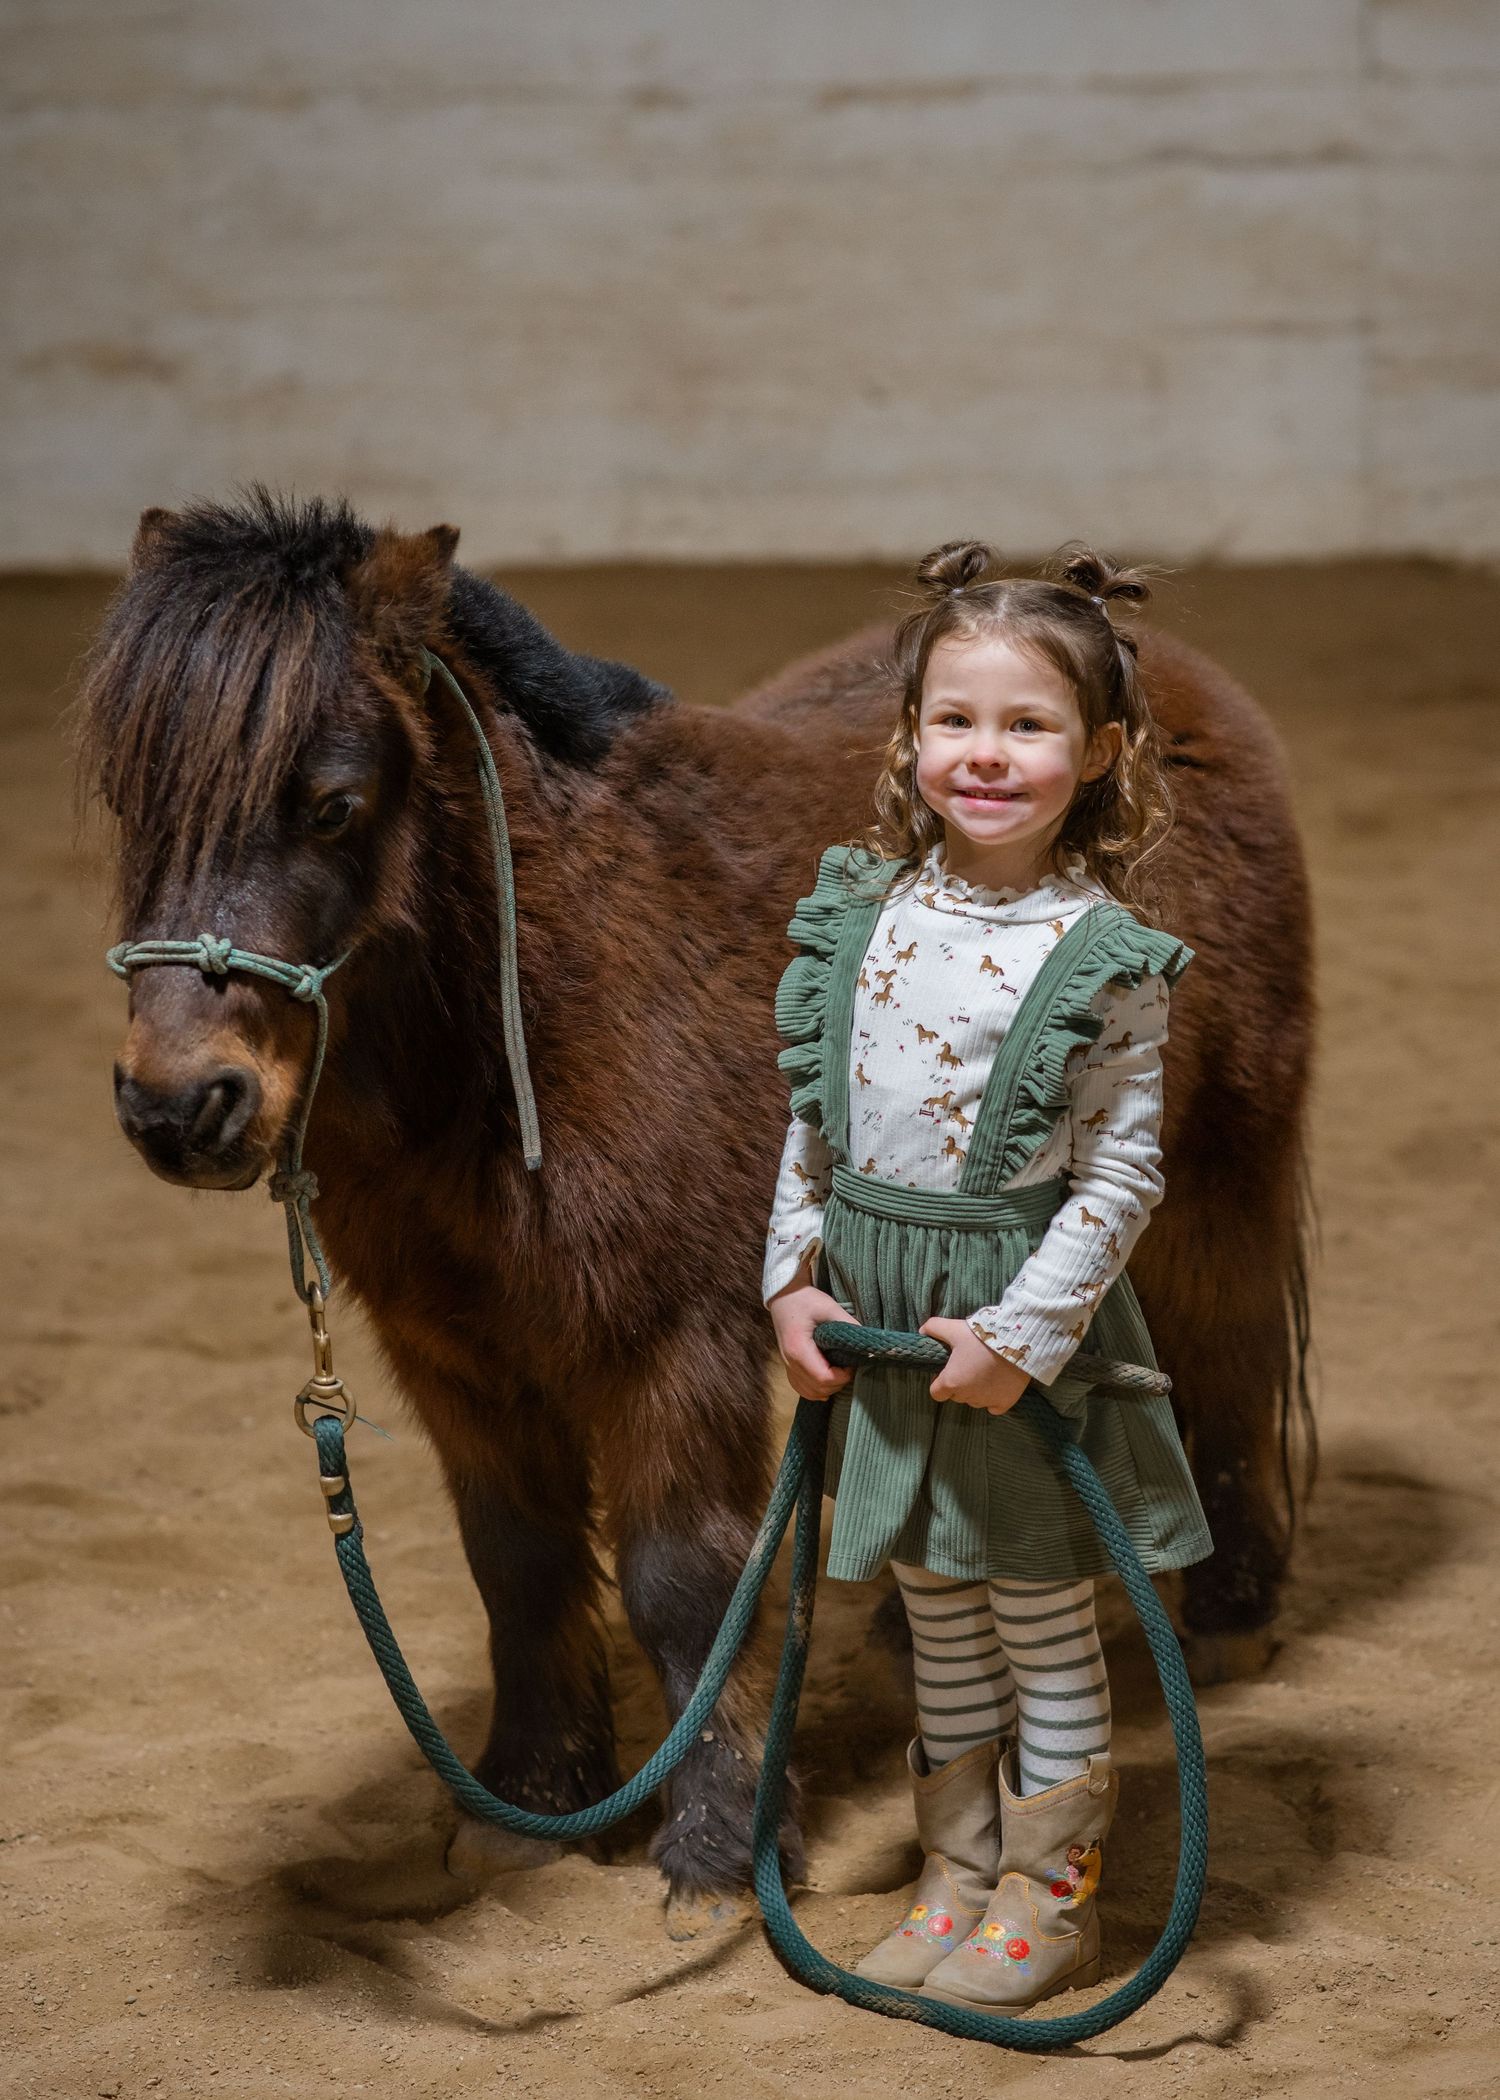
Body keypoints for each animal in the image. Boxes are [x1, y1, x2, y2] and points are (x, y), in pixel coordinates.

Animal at [78, 489, 1313, 1928]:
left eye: (332, 802)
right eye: (131, 801)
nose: (181, 1109)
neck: (539, 1013)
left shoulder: (668, 1345)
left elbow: (681, 1582)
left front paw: (721, 1849)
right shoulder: (459, 1356)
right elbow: (517, 1558)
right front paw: (535, 1799)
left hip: (1218, 1177)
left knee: (1227, 1355)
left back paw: (1230, 1614)